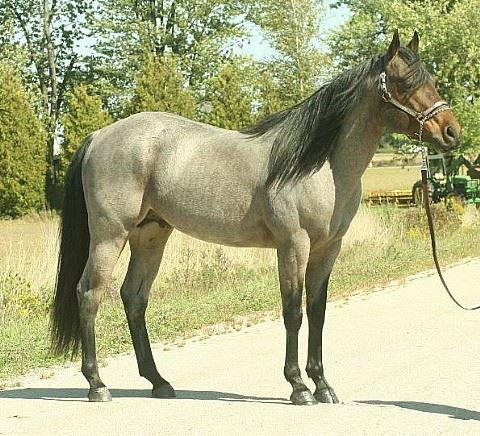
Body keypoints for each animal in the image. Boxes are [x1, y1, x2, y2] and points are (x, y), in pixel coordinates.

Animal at [50, 30, 460, 406]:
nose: (451, 133)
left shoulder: (328, 248)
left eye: (430, 79)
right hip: (110, 236)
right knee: (89, 293)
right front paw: (299, 388)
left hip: (150, 236)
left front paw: (323, 385)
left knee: (134, 297)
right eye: (405, 82)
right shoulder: (293, 245)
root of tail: (100, 135)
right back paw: (97, 385)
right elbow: (293, 311)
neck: (319, 166)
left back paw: (159, 382)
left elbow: (317, 311)